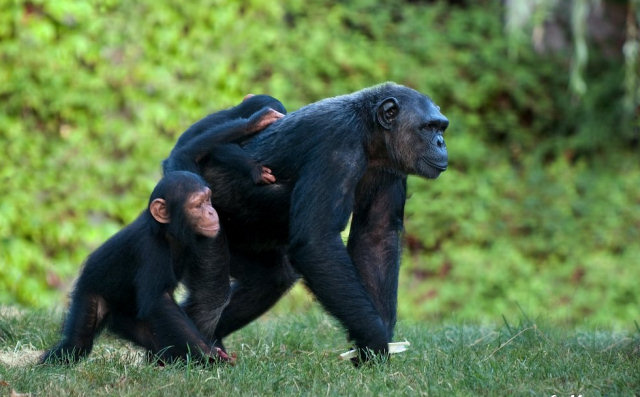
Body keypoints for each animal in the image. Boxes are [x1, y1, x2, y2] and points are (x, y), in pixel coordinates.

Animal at [41, 172, 234, 364]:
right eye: (198, 204)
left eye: (208, 200)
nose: (211, 211)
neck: (167, 231)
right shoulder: (151, 249)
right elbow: (159, 300)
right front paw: (210, 353)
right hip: (89, 292)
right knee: (77, 344)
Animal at [170, 82, 450, 364]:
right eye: (428, 127)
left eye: (441, 127)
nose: (441, 142)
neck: (369, 134)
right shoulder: (337, 145)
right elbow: (318, 239)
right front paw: (374, 339)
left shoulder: (389, 169)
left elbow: (376, 235)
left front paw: (374, 353)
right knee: (211, 294)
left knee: (269, 279)